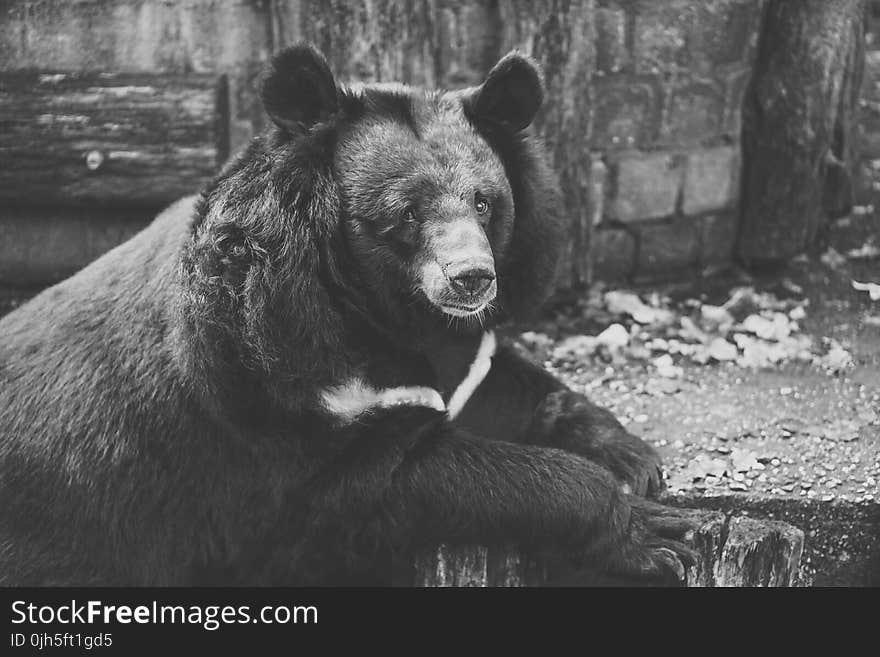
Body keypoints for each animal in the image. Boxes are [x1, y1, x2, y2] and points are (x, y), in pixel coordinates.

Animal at [0, 42, 696, 584]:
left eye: (484, 202)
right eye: (407, 213)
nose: (473, 278)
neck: (382, 309)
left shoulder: (463, 353)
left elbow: (508, 385)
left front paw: (635, 461)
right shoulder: (269, 397)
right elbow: (385, 485)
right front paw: (653, 533)